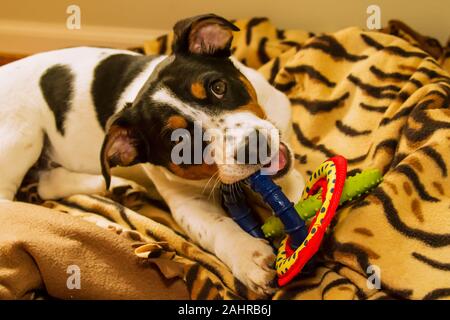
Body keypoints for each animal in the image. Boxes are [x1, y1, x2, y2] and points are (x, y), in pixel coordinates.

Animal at [0, 15, 306, 296]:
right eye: (179, 142)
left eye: (218, 87)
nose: (253, 146)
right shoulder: (185, 202)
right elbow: (218, 227)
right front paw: (247, 255)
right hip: (23, 134)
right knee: (15, 204)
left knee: (46, 184)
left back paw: (118, 190)